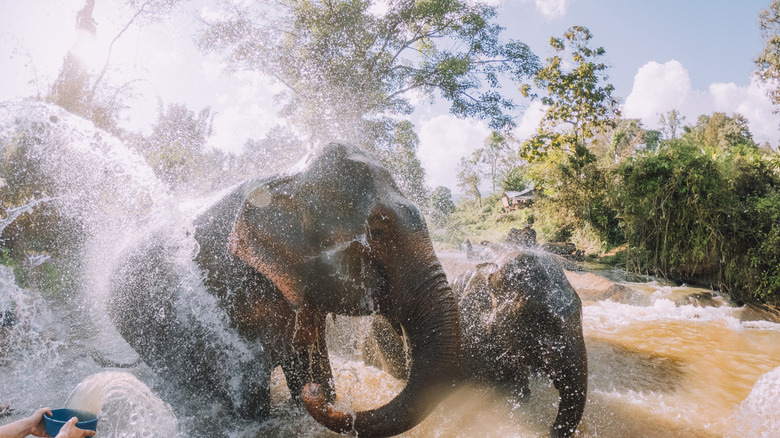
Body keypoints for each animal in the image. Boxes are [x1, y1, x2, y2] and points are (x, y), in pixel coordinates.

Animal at [107, 143, 461, 437]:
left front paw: (313, 391)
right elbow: (249, 390)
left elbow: (309, 360)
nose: (312, 396)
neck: (289, 179)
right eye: (377, 231)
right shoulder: (225, 293)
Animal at [364, 249, 587, 438]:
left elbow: (519, 390)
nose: (549, 431)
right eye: (541, 318)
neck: (493, 266)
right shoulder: (465, 336)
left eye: (580, 310)